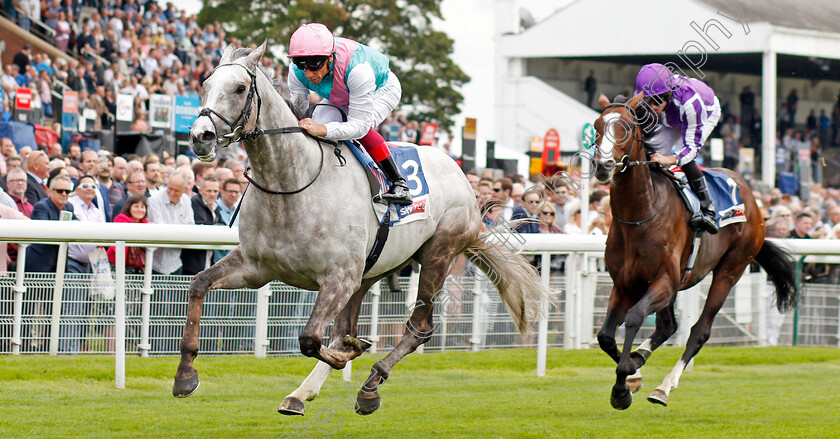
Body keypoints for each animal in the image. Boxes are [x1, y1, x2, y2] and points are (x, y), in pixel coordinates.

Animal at [174, 43, 552, 418]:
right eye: (205, 84)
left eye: (240, 88)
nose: (200, 136)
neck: (291, 187)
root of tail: (461, 175)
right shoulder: (257, 268)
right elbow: (198, 284)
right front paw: (185, 375)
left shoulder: (338, 277)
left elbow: (310, 338)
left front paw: (351, 353)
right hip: (372, 269)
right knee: (348, 327)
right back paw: (302, 392)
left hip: (437, 255)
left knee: (419, 328)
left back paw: (369, 387)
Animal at [592, 94, 796, 410]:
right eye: (596, 125)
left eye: (626, 126)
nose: (603, 165)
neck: (641, 214)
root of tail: (753, 198)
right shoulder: (625, 284)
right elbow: (604, 336)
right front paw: (632, 374)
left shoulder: (664, 281)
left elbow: (635, 317)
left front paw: (622, 386)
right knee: (668, 326)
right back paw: (641, 356)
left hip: (731, 269)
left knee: (699, 331)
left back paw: (664, 387)